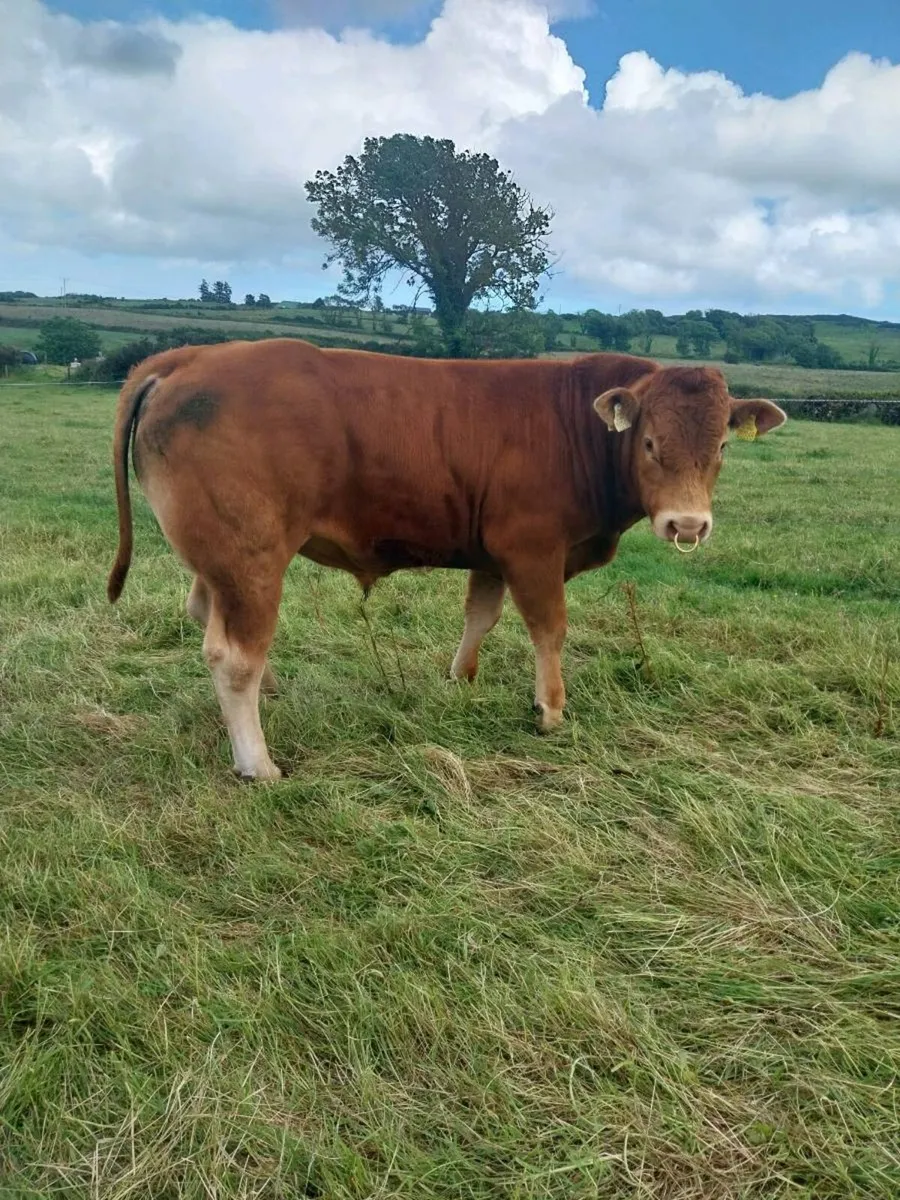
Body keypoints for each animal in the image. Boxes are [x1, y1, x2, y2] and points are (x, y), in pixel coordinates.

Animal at [108, 338, 786, 781]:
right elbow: (549, 628)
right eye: (648, 443)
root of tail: (191, 357)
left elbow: (480, 616)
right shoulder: (533, 550)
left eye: (722, 446)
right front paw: (550, 708)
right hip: (250, 558)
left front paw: (461, 678)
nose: (688, 524)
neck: (577, 427)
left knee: (203, 611)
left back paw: (270, 689)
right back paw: (258, 761)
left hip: (219, 561)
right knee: (233, 654)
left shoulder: (492, 552)